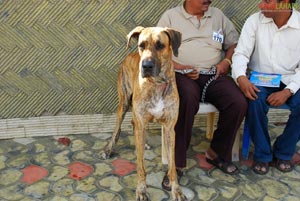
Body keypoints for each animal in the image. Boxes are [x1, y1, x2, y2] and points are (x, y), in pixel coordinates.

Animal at [103, 26, 188, 201]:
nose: (146, 66)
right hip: (124, 102)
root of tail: (129, 55)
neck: (157, 83)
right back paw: (109, 149)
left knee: (133, 124)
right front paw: (141, 190)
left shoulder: (170, 129)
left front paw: (176, 190)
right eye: (141, 45)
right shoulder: (141, 122)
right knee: (118, 128)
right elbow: (141, 166)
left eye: (160, 45)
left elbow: (172, 166)